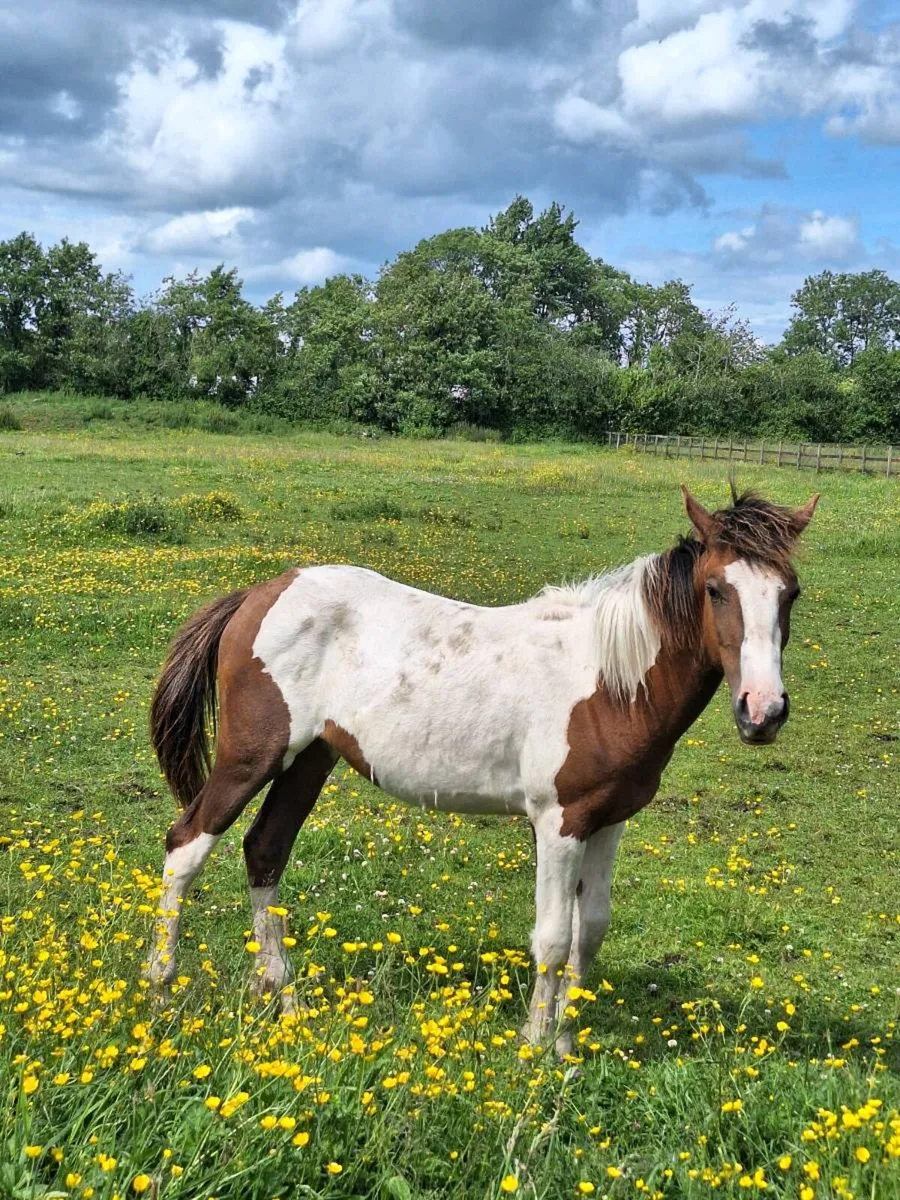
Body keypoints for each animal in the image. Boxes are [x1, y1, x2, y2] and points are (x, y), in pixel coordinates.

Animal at [147, 485, 818, 1053]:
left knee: (264, 851)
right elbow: (552, 937)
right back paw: (161, 990)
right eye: (716, 589)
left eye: (790, 592)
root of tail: (259, 594)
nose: (762, 711)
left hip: (310, 759)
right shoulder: (560, 823)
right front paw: (534, 1049)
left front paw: (567, 1048)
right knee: (186, 845)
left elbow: (590, 933)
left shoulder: (610, 822)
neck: (610, 681)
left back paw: (282, 1000)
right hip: (252, 756)